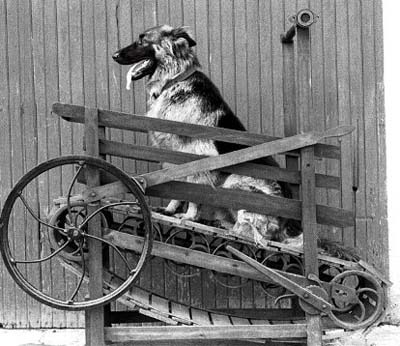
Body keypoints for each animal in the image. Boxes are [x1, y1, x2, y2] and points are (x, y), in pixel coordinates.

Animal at [112, 24, 306, 246]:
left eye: (142, 41)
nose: (114, 55)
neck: (174, 80)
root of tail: (285, 223)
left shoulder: (196, 156)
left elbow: (194, 191)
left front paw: (189, 216)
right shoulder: (171, 154)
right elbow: (176, 185)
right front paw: (170, 210)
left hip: (234, 181)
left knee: (255, 232)